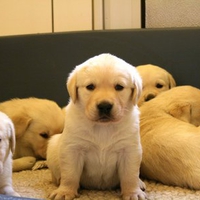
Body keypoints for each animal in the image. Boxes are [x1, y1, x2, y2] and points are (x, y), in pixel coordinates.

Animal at [47, 53, 147, 200]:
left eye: (119, 87)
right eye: (90, 87)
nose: (104, 106)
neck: (103, 127)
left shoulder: (129, 150)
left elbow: (130, 175)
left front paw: (133, 193)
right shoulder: (73, 148)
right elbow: (70, 174)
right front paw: (65, 191)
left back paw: (140, 183)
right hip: (53, 144)